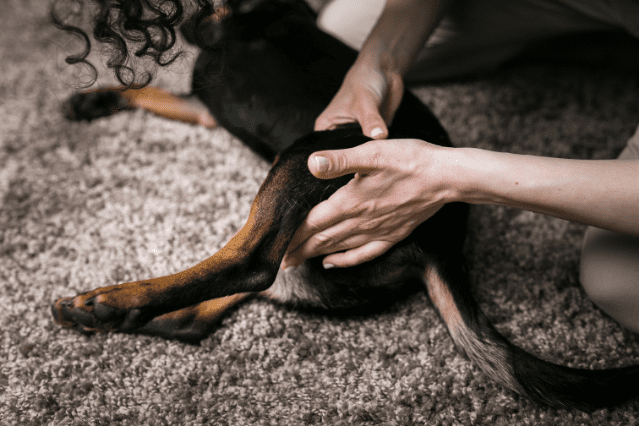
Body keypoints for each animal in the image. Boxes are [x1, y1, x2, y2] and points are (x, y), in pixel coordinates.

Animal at [50, 0, 636, 412]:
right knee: (200, 317)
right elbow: (152, 91)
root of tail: (444, 244)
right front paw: (93, 99)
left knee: (249, 262)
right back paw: (107, 316)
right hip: (312, 259)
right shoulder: (204, 104)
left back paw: (115, 302)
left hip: (308, 154)